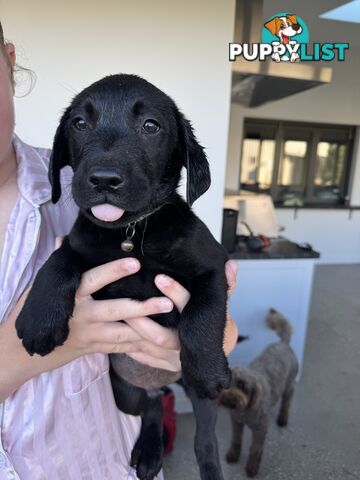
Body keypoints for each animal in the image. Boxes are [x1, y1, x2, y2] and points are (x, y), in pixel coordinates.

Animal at [15, 75, 231, 480]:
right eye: (79, 123)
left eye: (151, 126)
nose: (103, 180)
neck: (130, 233)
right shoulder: (78, 244)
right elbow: (56, 263)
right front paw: (39, 321)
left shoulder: (214, 266)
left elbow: (202, 316)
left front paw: (209, 368)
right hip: (124, 392)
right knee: (152, 408)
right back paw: (148, 452)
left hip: (198, 398)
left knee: (206, 440)